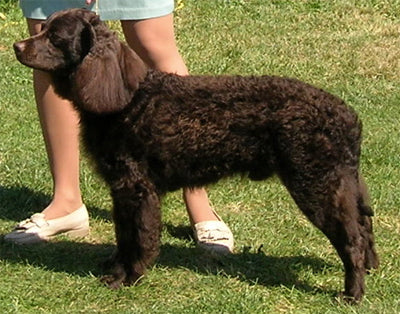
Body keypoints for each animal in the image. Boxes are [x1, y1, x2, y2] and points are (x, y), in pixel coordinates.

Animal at [14, 8, 378, 302]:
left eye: (56, 37)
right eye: (41, 27)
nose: (17, 46)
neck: (129, 99)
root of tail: (350, 118)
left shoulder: (136, 189)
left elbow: (138, 237)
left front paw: (127, 277)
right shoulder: (122, 190)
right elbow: (123, 235)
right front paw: (116, 267)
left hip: (316, 185)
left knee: (352, 240)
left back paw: (352, 294)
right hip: (343, 185)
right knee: (364, 228)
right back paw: (371, 269)